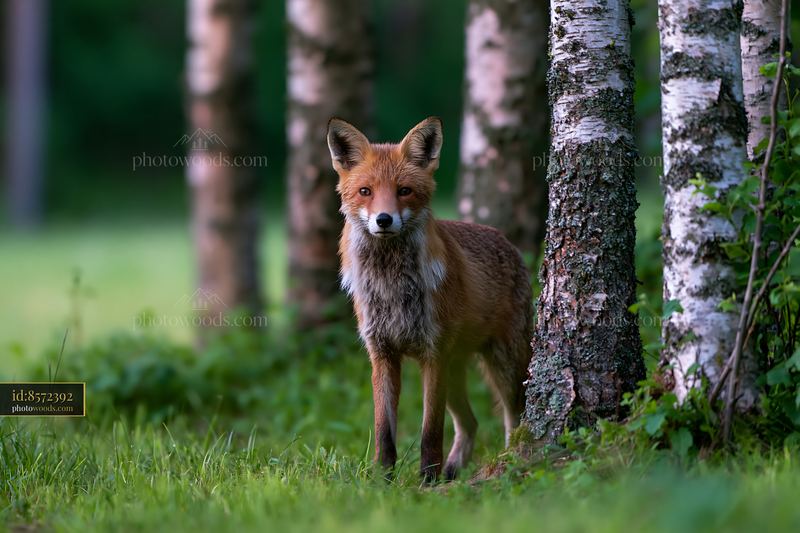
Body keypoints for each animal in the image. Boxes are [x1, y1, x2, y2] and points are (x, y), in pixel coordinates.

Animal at [326, 116, 533, 483]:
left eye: (404, 190)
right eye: (366, 191)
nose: (384, 219)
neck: (391, 286)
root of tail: (506, 241)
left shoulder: (432, 353)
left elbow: (430, 432)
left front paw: (427, 481)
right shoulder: (382, 355)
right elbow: (384, 431)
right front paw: (383, 480)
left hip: (504, 365)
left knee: (514, 418)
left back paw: (509, 461)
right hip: (456, 371)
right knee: (470, 423)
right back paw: (453, 471)